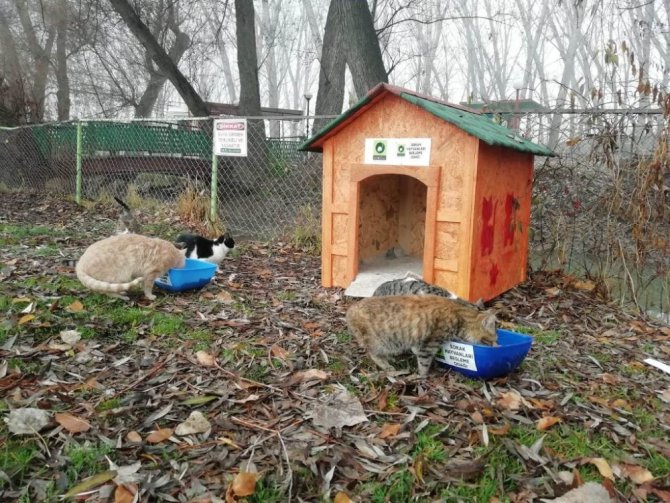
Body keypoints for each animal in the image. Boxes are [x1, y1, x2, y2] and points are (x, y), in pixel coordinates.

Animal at [346, 296, 498, 378]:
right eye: (492, 341)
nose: (498, 346)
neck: (459, 314)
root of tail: (350, 310)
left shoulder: (419, 338)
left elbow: (417, 350)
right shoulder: (431, 343)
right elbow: (424, 363)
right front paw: (422, 376)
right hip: (381, 342)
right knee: (374, 354)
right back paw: (387, 365)